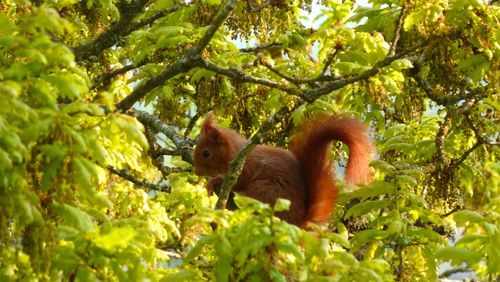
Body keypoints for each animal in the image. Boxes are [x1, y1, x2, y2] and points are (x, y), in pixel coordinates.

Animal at [193, 113, 374, 228]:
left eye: (206, 153)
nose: (197, 171)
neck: (236, 152)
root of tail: (297, 223)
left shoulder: (246, 167)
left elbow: (239, 182)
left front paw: (216, 180)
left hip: (265, 189)